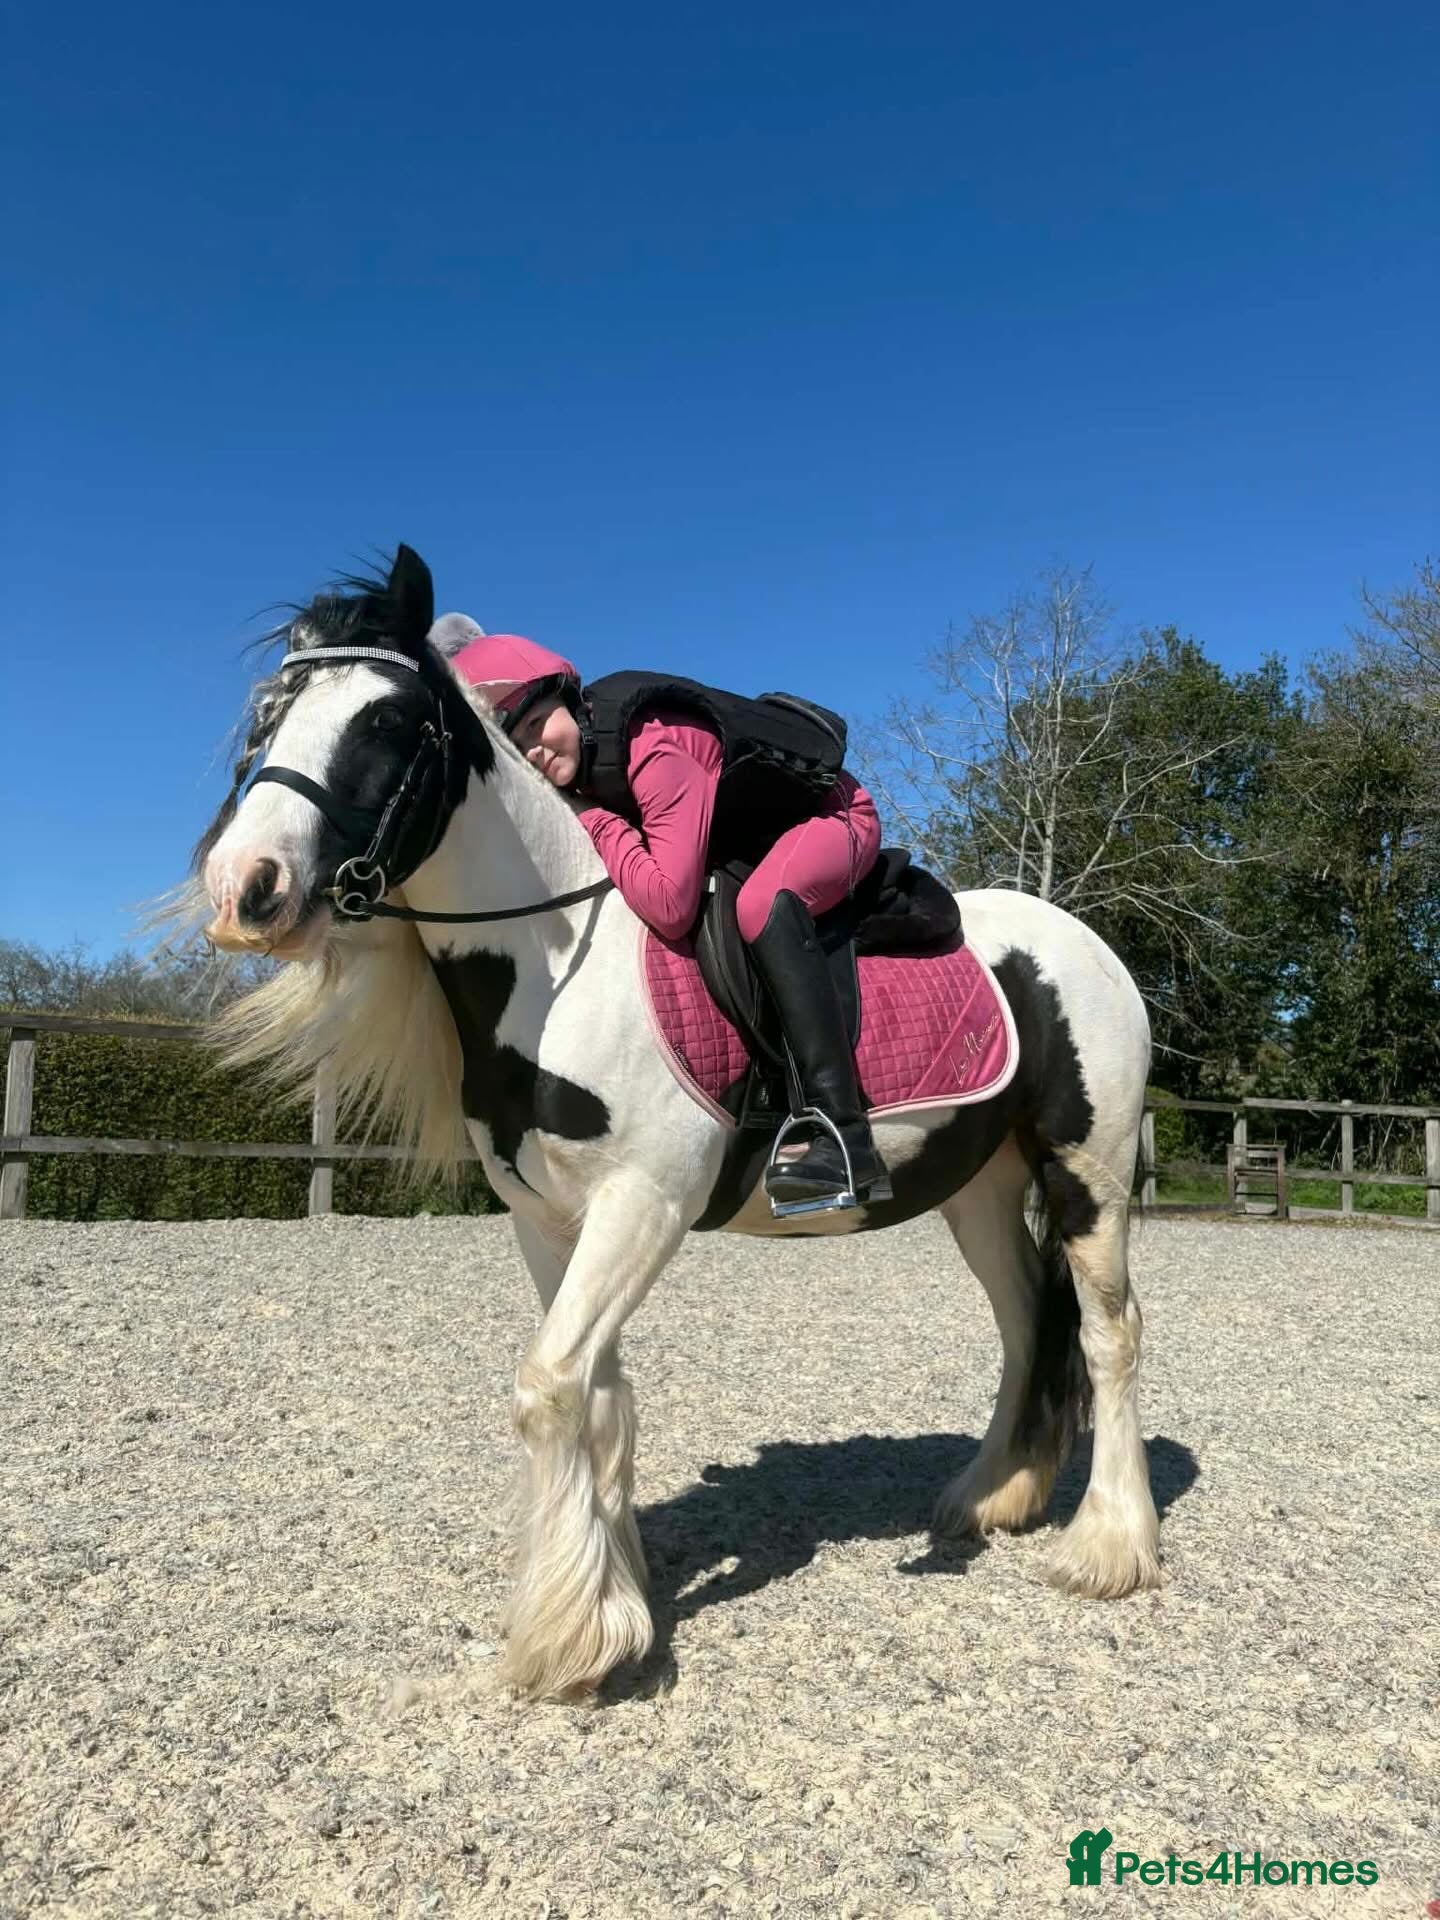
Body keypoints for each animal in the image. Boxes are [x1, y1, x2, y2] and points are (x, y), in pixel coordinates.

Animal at [191, 545, 1161, 1701]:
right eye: (270, 716)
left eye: (385, 720)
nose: (245, 890)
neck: (556, 970)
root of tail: (1084, 943)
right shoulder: (547, 1221)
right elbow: (597, 1394)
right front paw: (618, 1601)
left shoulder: (643, 1203)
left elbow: (552, 1386)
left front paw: (571, 1641)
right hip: (979, 1185)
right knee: (1025, 1327)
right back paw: (990, 1498)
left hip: (1085, 1170)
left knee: (1107, 1334)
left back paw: (1109, 1550)